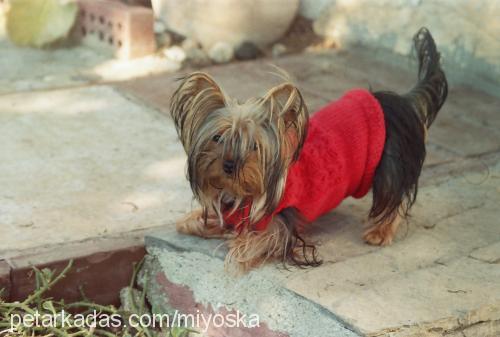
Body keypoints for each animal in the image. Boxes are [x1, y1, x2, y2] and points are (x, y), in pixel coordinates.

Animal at [170, 27, 448, 272]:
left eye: (254, 146)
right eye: (217, 137)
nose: (229, 165)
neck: (243, 192)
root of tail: (404, 102)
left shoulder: (281, 223)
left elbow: (262, 239)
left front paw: (238, 242)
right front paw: (194, 221)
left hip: (391, 164)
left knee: (394, 197)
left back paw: (380, 231)